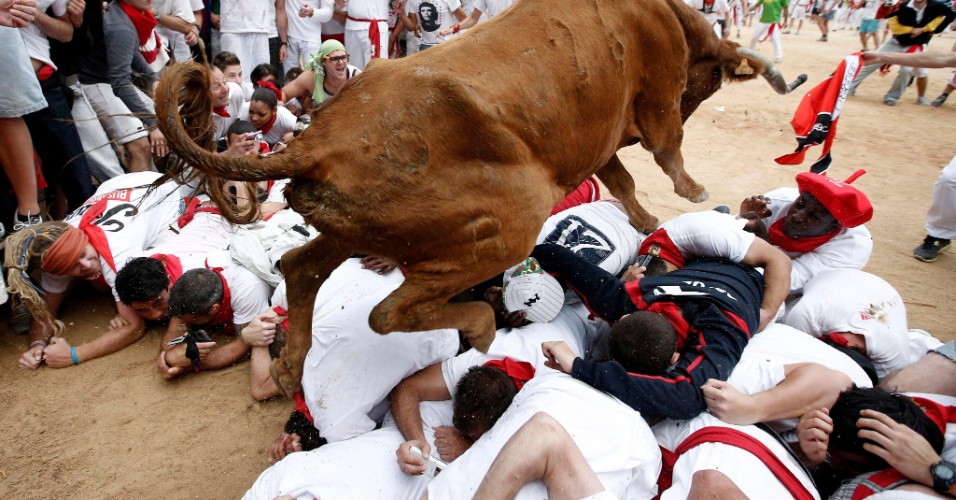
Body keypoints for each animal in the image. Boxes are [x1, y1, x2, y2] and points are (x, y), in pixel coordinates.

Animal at [157, 0, 808, 394]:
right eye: (714, 77)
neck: (663, 16)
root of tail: (316, 142)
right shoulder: (657, 98)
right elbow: (665, 146)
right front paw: (691, 190)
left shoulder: (599, 140)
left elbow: (623, 180)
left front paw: (649, 220)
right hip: (510, 222)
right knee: (390, 312)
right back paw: (478, 327)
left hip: (349, 230)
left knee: (301, 267)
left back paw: (291, 369)